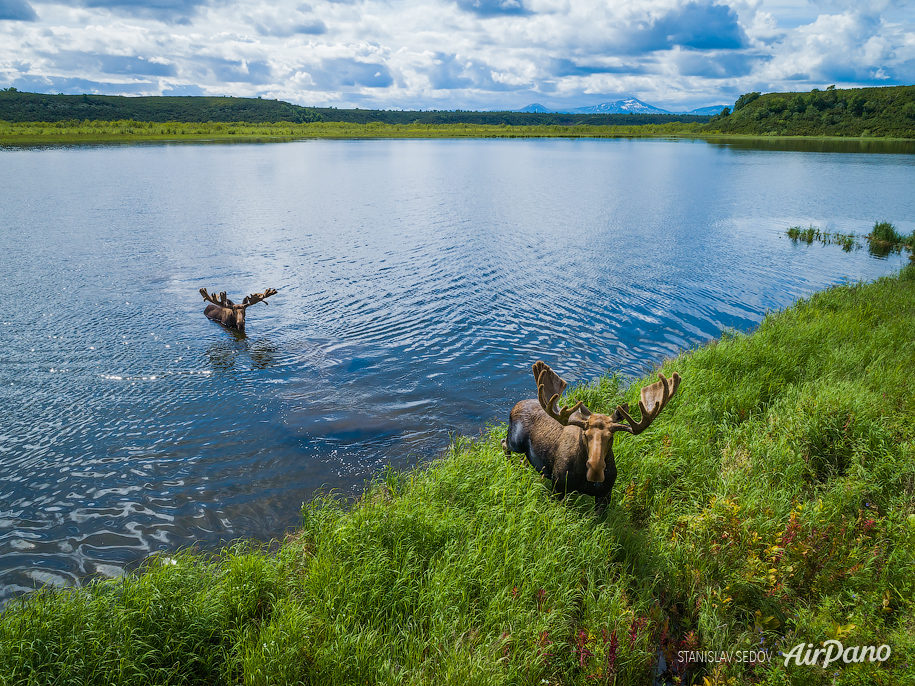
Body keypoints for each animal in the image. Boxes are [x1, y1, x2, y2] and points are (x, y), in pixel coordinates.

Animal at [502, 361, 680, 514]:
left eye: (611, 436)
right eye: (585, 435)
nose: (596, 469)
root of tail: (517, 404)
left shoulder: (605, 494)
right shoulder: (559, 487)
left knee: (524, 460)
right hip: (515, 442)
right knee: (504, 443)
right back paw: (510, 467)